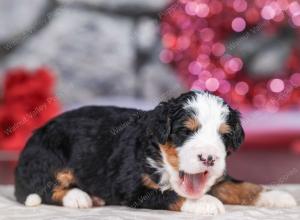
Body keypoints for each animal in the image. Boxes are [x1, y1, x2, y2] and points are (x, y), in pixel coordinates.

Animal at [15, 90, 296, 215]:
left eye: (224, 135)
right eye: (186, 131)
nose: (209, 158)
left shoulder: (218, 177)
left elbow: (241, 186)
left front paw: (277, 195)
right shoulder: (134, 188)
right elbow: (170, 195)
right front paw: (205, 202)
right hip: (49, 155)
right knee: (41, 187)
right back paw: (80, 197)